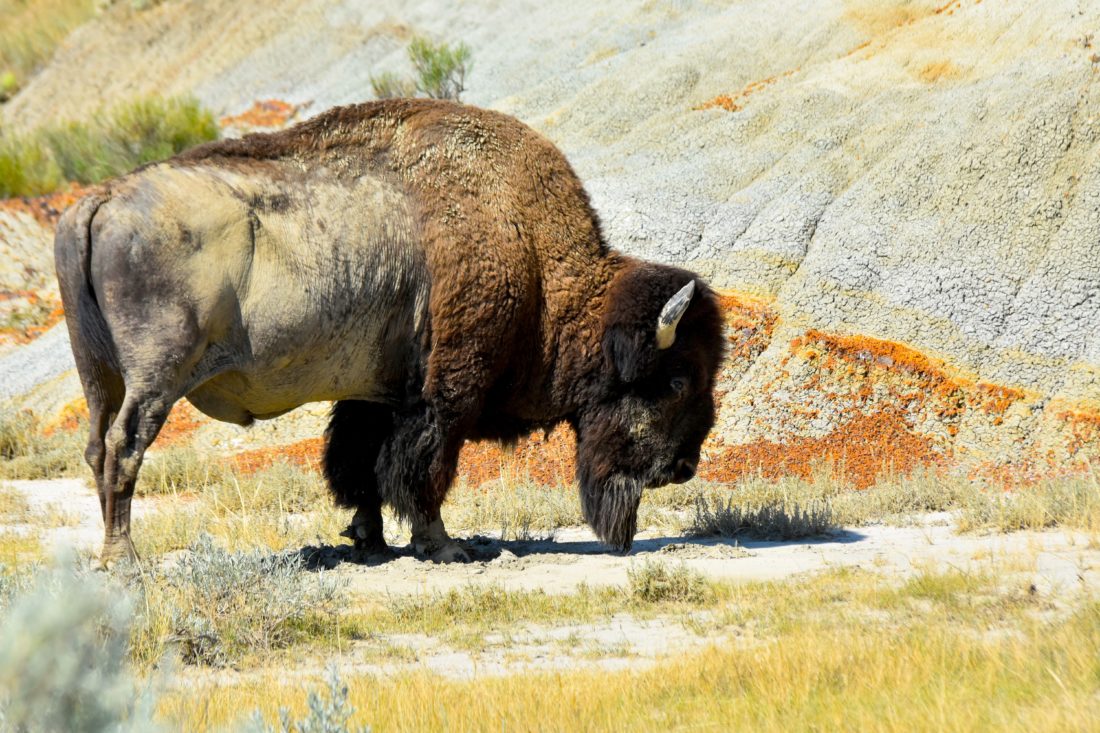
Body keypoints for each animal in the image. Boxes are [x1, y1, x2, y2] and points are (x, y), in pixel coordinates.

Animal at [54, 99, 725, 564]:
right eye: (676, 381)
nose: (684, 467)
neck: (532, 255)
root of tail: (100, 200)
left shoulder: (374, 392)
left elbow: (359, 465)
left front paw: (369, 541)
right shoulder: (444, 391)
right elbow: (422, 468)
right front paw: (446, 546)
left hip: (99, 375)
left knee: (96, 448)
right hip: (155, 377)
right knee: (125, 448)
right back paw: (125, 561)